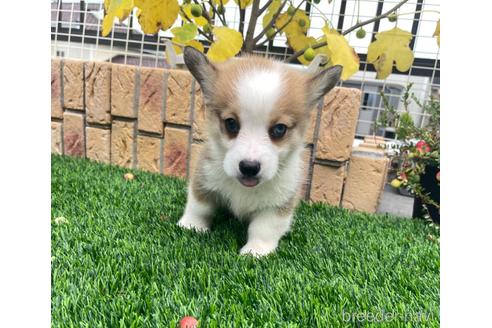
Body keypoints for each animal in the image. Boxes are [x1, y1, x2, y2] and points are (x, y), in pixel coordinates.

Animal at [178, 46, 342, 256]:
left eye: (279, 129)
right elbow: (199, 207)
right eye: (231, 123)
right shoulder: (204, 178)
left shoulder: (279, 203)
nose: (249, 167)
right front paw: (191, 226)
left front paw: (255, 251)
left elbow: (264, 228)